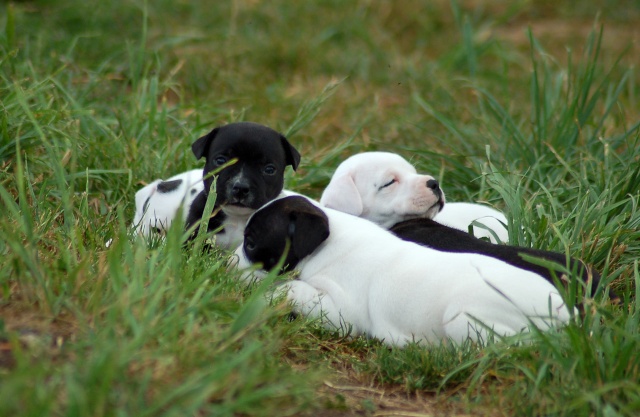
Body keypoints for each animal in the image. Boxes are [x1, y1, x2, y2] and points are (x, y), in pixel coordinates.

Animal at [234, 195, 568, 344]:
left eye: (250, 242)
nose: (227, 263)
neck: (327, 245)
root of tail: (566, 317)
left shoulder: (339, 313)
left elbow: (292, 287)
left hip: (464, 319)